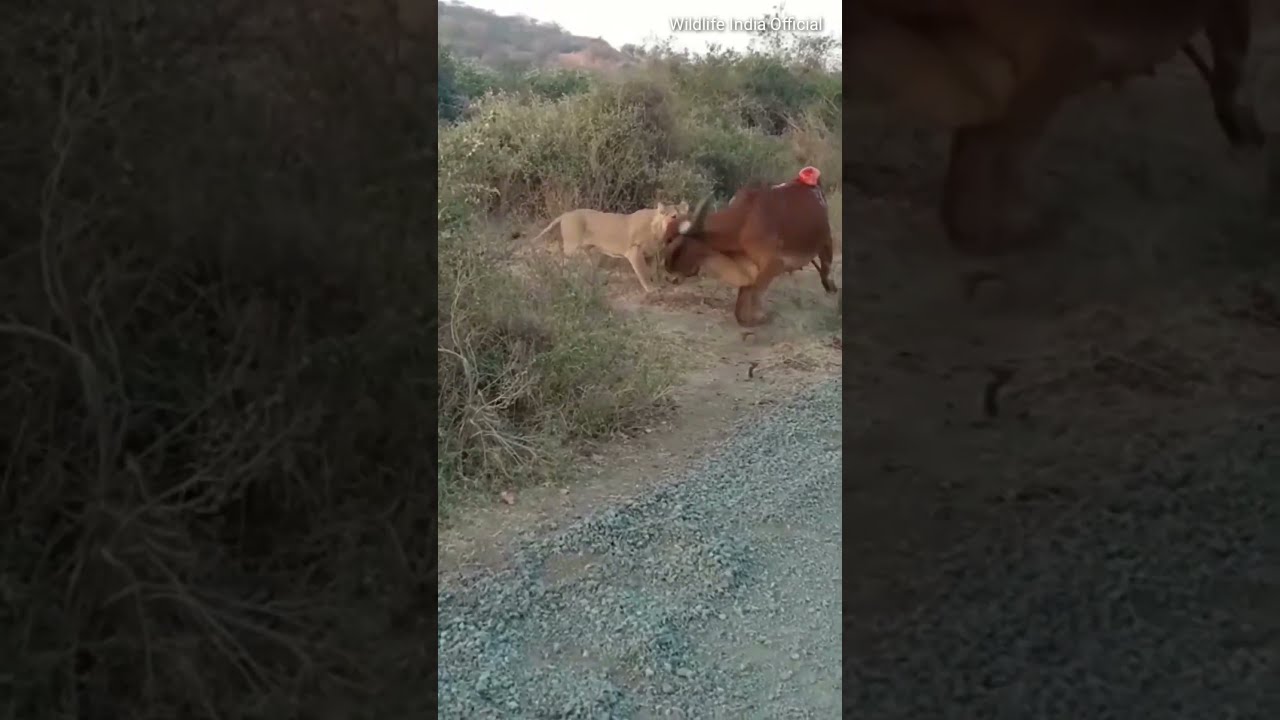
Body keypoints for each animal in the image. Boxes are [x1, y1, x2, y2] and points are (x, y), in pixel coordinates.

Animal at [529, 202, 689, 293]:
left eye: (686, 214)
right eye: (674, 216)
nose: (686, 224)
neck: (659, 230)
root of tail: (566, 214)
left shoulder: (650, 254)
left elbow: (653, 271)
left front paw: (657, 284)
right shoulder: (634, 251)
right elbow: (643, 272)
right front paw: (650, 289)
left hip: (583, 250)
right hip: (572, 246)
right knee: (557, 254)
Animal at [661, 167, 838, 327]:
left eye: (676, 245)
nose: (669, 277)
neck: (743, 223)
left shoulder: (774, 265)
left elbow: (754, 296)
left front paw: (761, 317)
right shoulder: (748, 268)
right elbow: (741, 307)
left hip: (826, 243)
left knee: (826, 272)